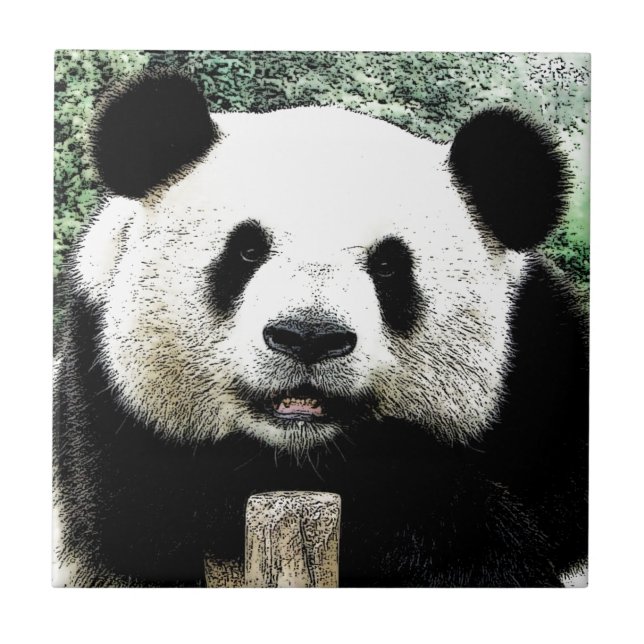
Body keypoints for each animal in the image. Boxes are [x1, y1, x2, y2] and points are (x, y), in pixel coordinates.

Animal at [53, 71, 588, 587]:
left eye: (389, 267)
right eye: (247, 250)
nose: (308, 337)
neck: (303, 451)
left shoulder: (543, 376)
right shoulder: (102, 404)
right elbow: (149, 506)